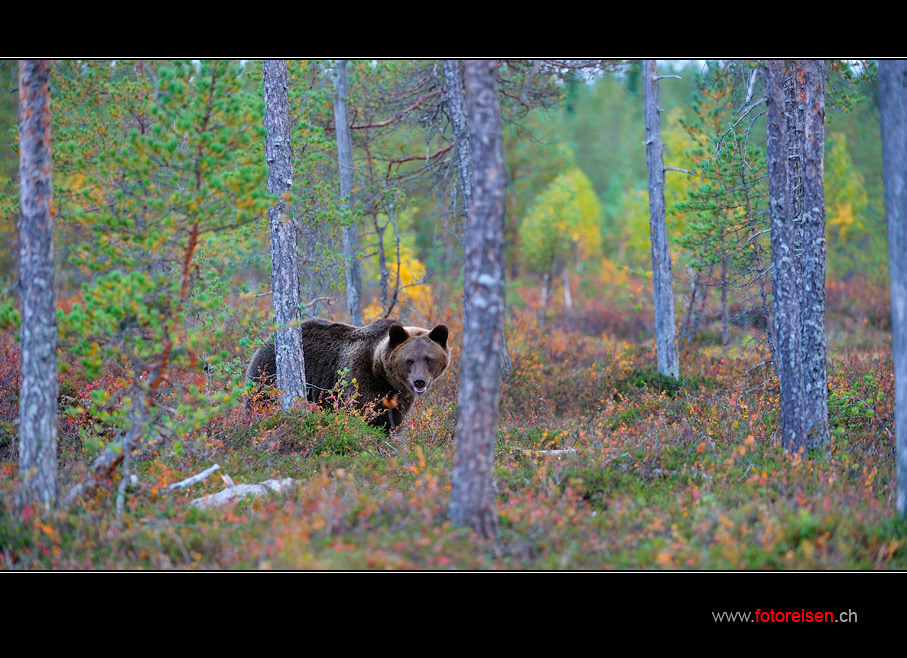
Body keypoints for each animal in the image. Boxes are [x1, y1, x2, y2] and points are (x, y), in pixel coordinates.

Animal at [247, 316, 448, 430]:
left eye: (429, 359)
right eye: (409, 360)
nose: (419, 381)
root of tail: (266, 342)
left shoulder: (400, 398)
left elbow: (394, 421)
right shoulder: (360, 380)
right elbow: (368, 416)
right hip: (268, 376)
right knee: (260, 401)